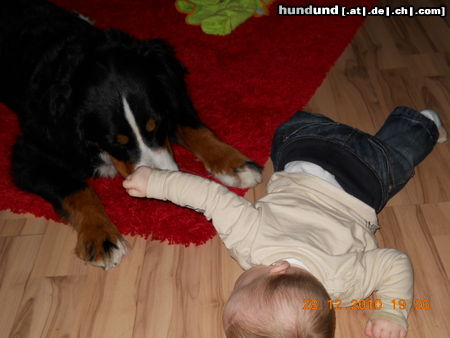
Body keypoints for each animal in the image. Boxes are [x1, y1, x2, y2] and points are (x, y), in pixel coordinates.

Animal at [0, 0, 262, 270]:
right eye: (116, 143)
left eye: (156, 125)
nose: (162, 178)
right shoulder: (30, 155)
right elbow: (78, 189)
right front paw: (101, 235)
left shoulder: (169, 95)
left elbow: (195, 127)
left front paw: (234, 164)